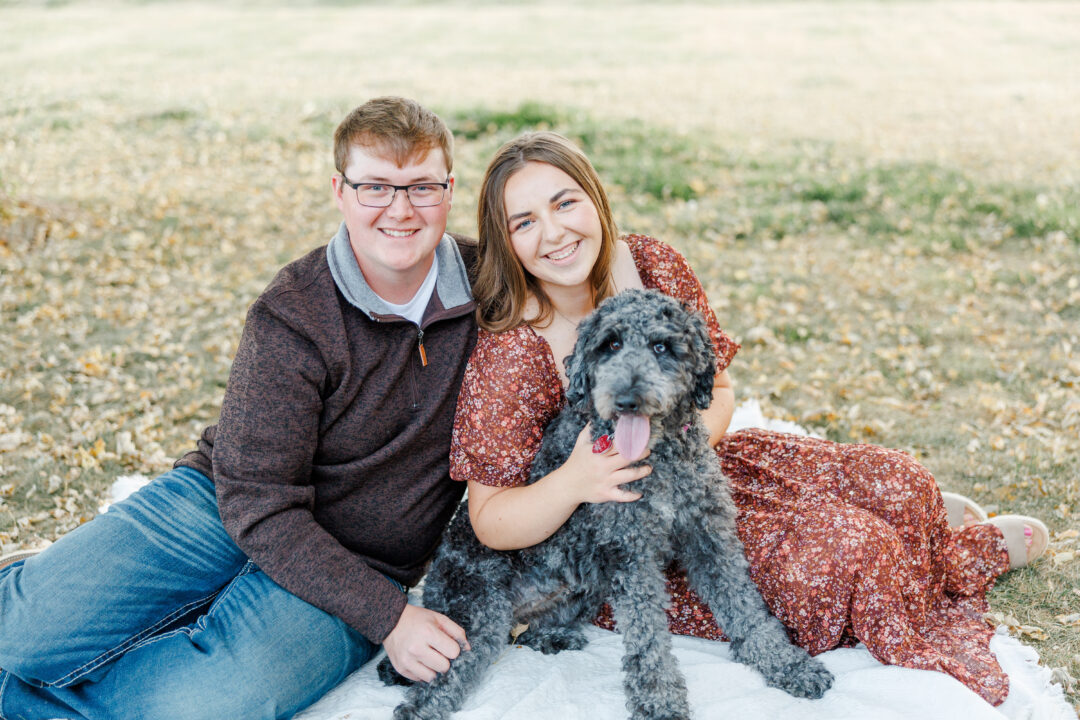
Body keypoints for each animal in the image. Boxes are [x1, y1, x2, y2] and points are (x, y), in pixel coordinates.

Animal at [380, 289, 833, 720]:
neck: (659, 458)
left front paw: (788, 664)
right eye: (610, 344)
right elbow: (648, 641)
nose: (627, 399)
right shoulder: (631, 556)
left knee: (530, 631)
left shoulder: (709, 538)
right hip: (476, 617)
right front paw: (660, 703)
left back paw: (553, 635)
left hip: (582, 587)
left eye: (662, 346)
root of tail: (432, 586)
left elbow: (746, 606)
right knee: (431, 689)